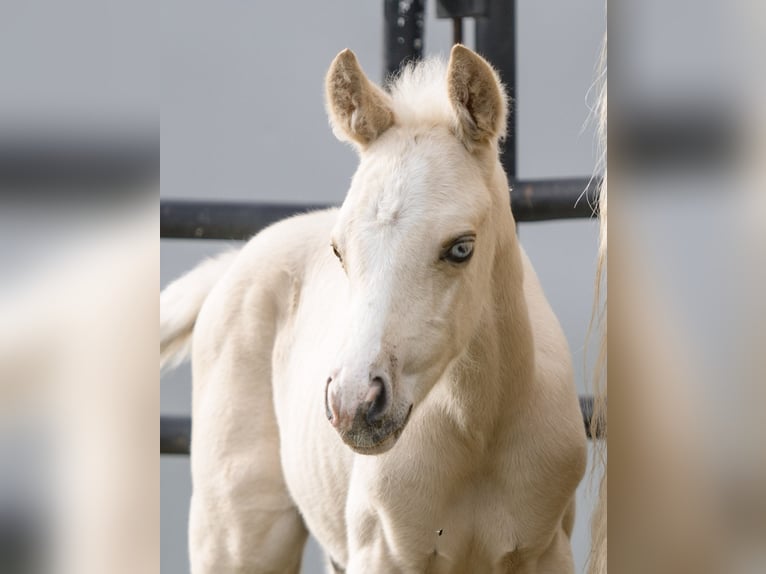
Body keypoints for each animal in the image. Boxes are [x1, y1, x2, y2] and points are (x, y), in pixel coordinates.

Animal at [160, 45, 587, 573]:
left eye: (461, 248)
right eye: (338, 250)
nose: (355, 404)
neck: (477, 436)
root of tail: (233, 264)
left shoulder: (547, 550)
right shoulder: (382, 551)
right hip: (239, 535)